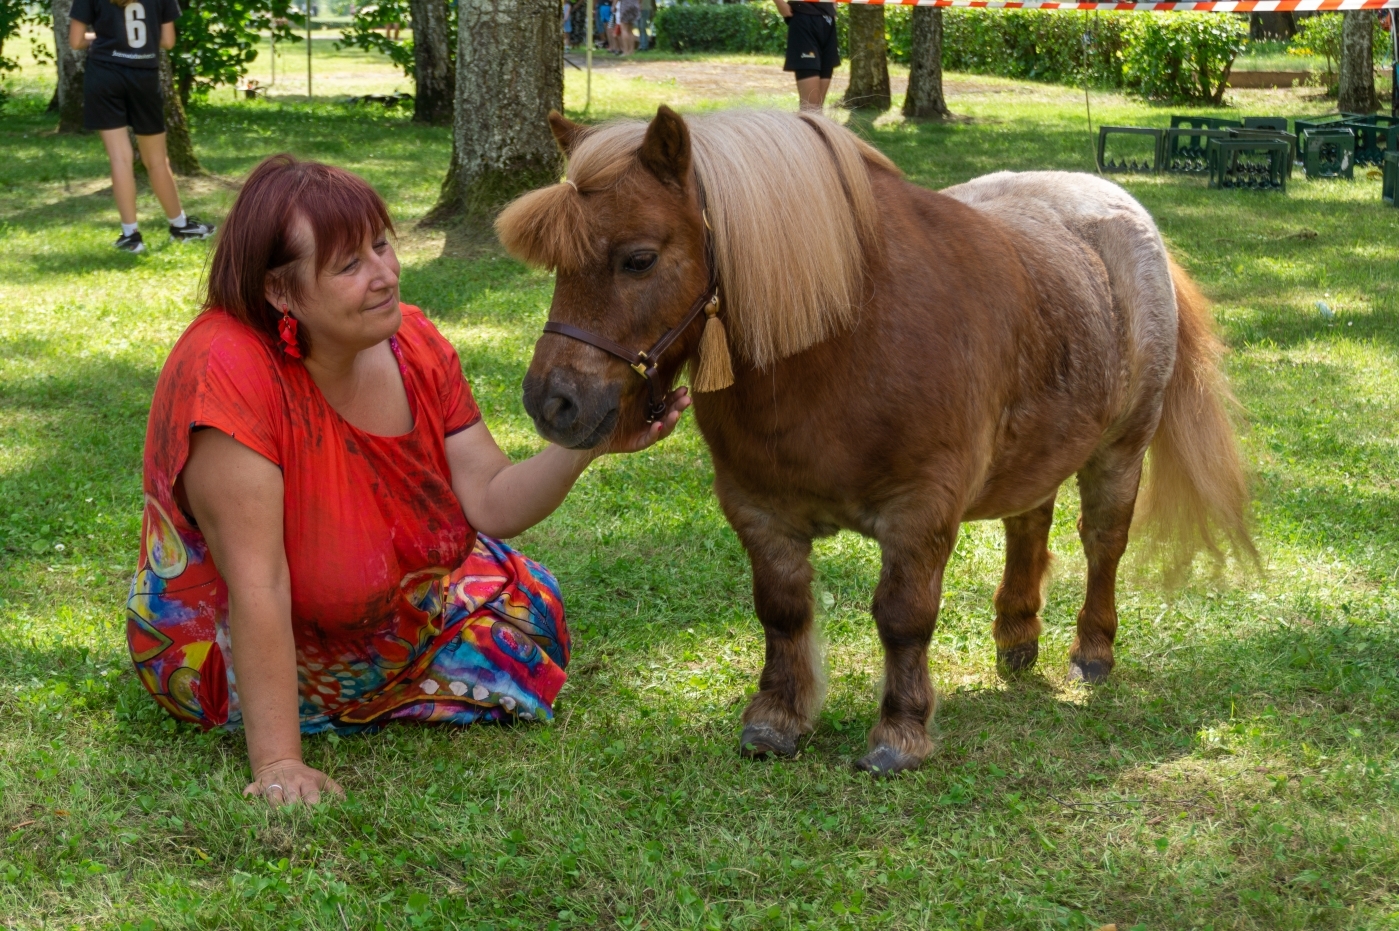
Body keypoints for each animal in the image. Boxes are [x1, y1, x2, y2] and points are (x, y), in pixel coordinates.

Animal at [498, 105, 1253, 772]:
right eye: (558, 264)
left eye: (638, 259)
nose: (552, 402)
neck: (842, 339)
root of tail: (1121, 208)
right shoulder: (758, 510)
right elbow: (781, 611)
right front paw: (777, 717)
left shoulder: (920, 512)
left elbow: (902, 617)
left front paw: (901, 732)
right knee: (1028, 523)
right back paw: (1016, 632)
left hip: (1120, 449)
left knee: (1102, 542)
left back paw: (1092, 650)